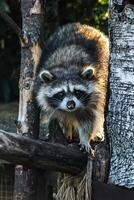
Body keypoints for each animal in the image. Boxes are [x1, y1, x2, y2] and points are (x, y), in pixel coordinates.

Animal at [35, 22, 109, 152]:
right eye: (61, 93)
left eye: (77, 92)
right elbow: (60, 116)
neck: (67, 68)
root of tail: (84, 25)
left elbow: (88, 119)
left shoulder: (95, 93)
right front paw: (66, 129)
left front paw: (85, 138)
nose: (71, 105)